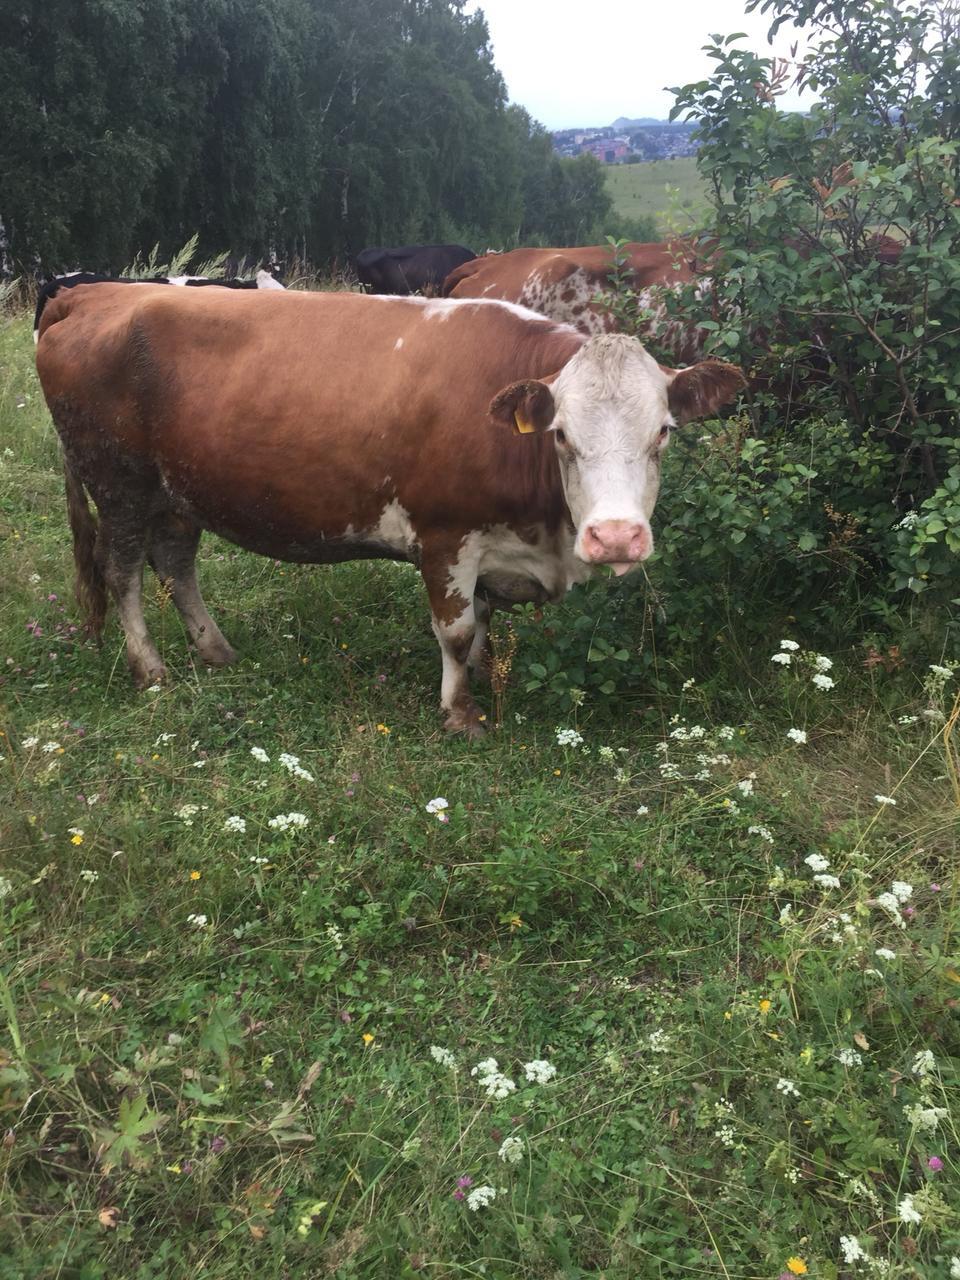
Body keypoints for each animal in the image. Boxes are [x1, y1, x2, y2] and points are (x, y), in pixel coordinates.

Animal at [37, 285, 742, 737]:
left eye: (664, 432)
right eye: (562, 435)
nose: (616, 536)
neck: (546, 536)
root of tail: (94, 293)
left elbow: (480, 624)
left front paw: (477, 678)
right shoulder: (445, 535)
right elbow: (455, 630)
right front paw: (460, 715)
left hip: (177, 491)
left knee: (175, 563)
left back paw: (215, 651)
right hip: (119, 485)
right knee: (122, 572)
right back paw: (150, 669)